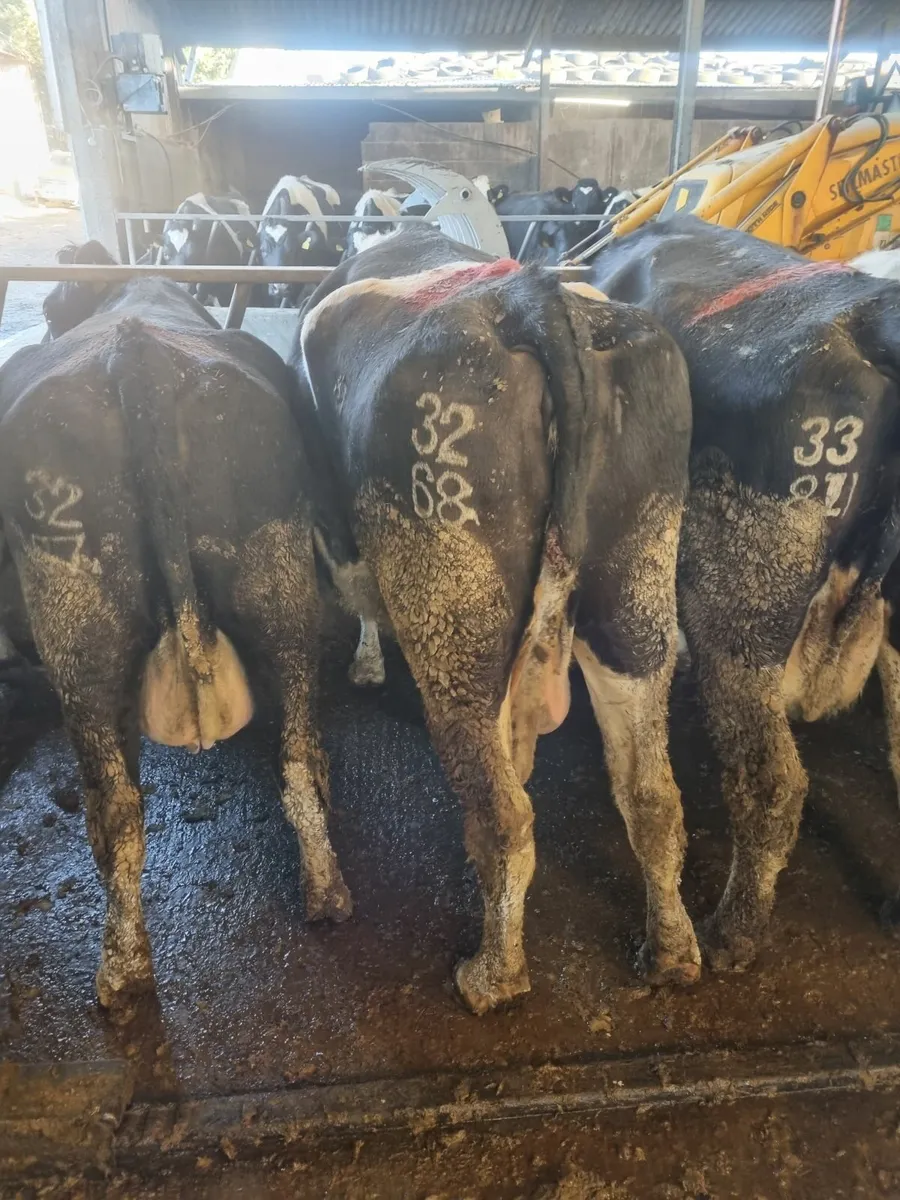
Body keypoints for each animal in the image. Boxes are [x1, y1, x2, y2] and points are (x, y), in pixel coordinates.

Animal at [0, 240, 351, 1011]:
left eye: (51, 308)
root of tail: (137, 356)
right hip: (278, 583)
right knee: (297, 755)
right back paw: (326, 894)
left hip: (76, 629)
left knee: (117, 809)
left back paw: (121, 972)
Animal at [290, 224, 697, 1013]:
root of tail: (530, 298)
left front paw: (366, 662)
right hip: (634, 588)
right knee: (652, 796)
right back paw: (669, 954)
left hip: (453, 608)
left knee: (503, 817)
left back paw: (491, 977)